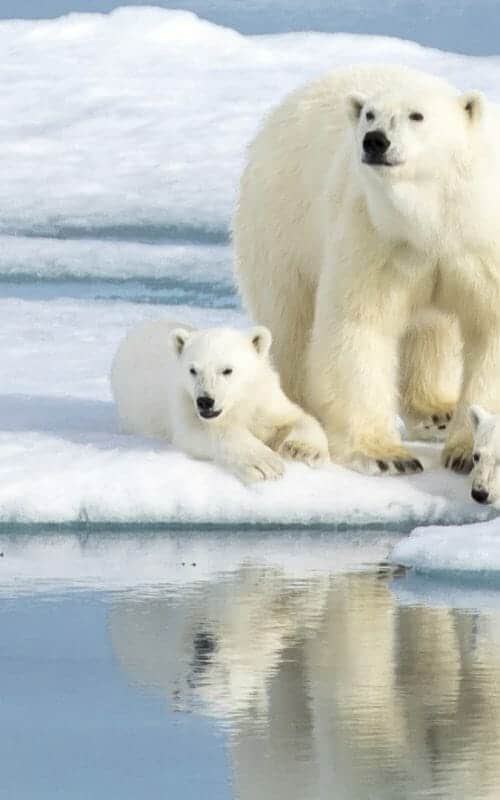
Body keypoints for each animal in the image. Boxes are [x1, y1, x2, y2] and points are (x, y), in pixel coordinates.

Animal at [110, 319, 329, 483]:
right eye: (193, 370)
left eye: (227, 370)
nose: (205, 401)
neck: (237, 405)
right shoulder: (184, 401)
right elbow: (201, 432)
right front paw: (264, 463)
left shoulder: (263, 397)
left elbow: (296, 417)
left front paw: (302, 449)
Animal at [233, 64, 500, 476]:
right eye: (369, 115)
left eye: (417, 115)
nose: (375, 141)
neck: (433, 220)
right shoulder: (375, 235)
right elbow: (358, 326)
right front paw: (386, 456)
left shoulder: (478, 248)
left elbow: (489, 330)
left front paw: (465, 451)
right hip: (282, 227)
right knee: (292, 325)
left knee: (431, 331)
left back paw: (436, 411)